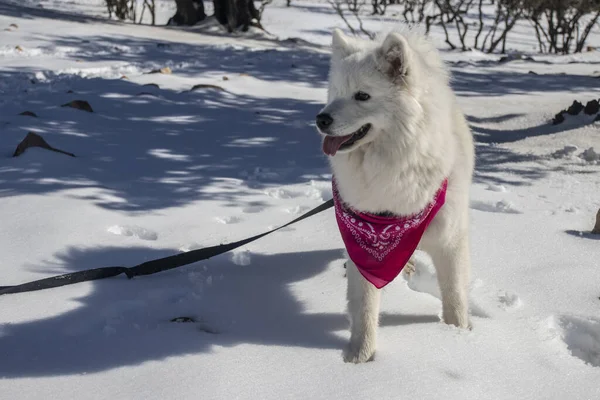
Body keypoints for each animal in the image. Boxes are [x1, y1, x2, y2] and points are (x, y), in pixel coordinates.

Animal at [316, 28, 476, 362]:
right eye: (335, 93)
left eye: (362, 96)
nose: (320, 120)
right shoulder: (363, 253)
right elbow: (365, 307)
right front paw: (360, 358)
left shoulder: (450, 241)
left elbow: (454, 294)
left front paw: (459, 336)